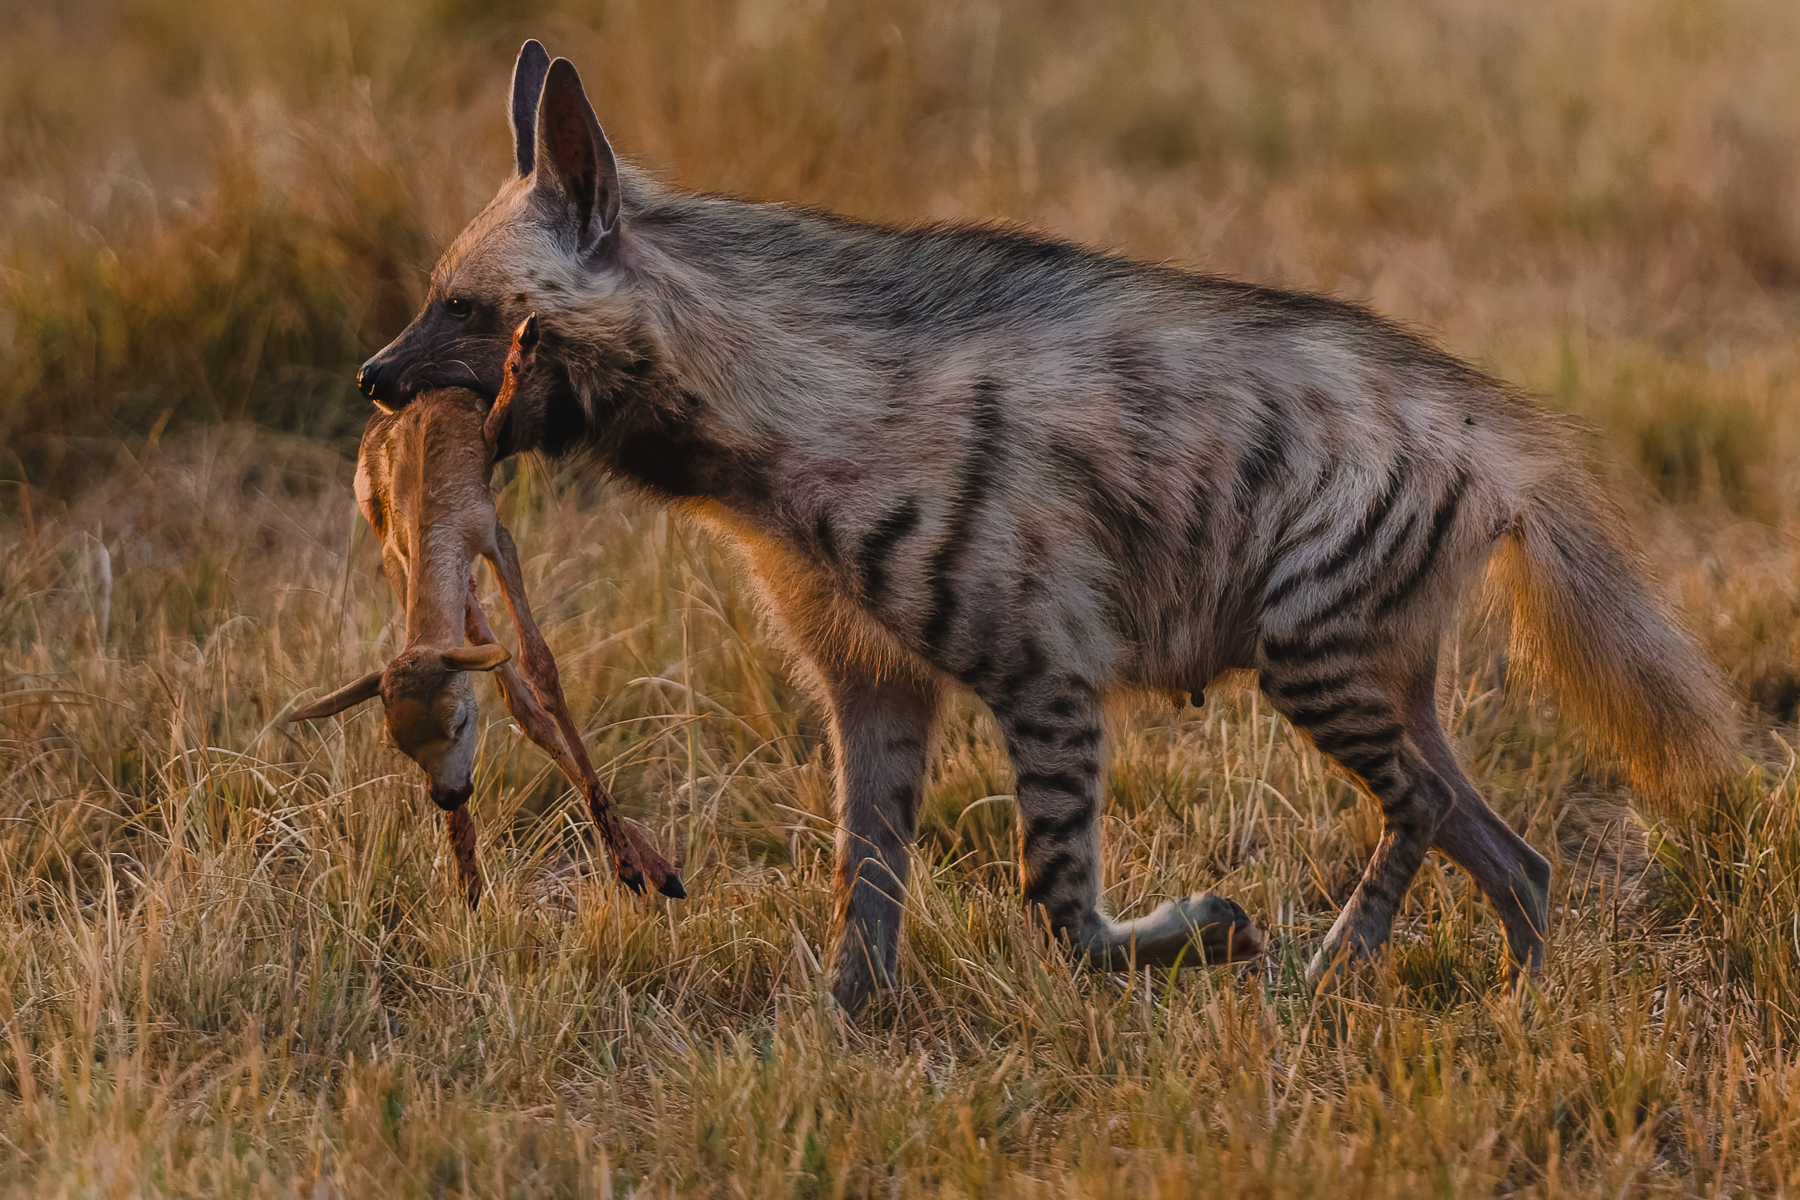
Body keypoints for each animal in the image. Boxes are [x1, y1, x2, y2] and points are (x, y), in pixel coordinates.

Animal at [291, 314, 684, 905]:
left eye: (458, 721)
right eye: (397, 742)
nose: (449, 796)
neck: (424, 492)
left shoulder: (496, 539)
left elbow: (542, 671)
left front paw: (634, 862)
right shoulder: (404, 562)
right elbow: (521, 705)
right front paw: (468, 877)